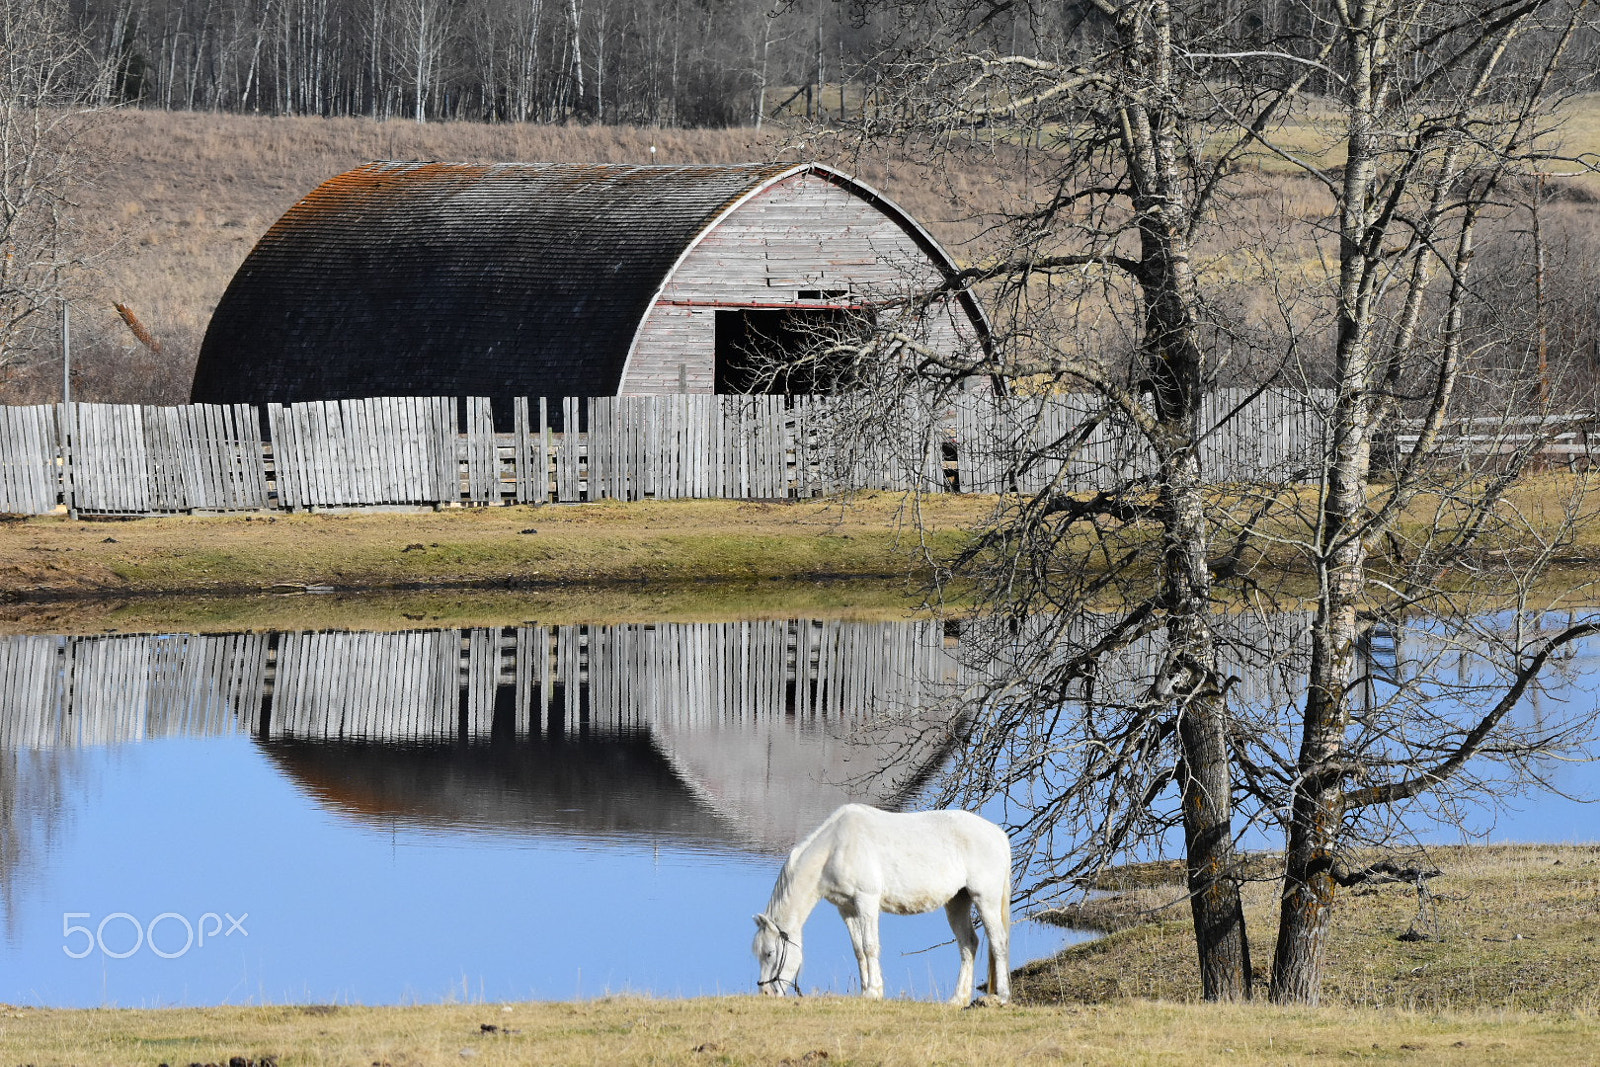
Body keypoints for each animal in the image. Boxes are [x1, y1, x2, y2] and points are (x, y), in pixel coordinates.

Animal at [752, 806, 1011, 1004]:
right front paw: (866, 990)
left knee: (998, 941)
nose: (765, 993)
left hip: (985, 898)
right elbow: (858, 950)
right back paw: (957, 999)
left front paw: (873, 992)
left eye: (770, 953)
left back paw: (1002, 996)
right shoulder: (847, 909)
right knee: (968, 944)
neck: (836, 847)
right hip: (958, 902)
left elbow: (869, 946)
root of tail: (998, 835)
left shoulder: (866, 900)